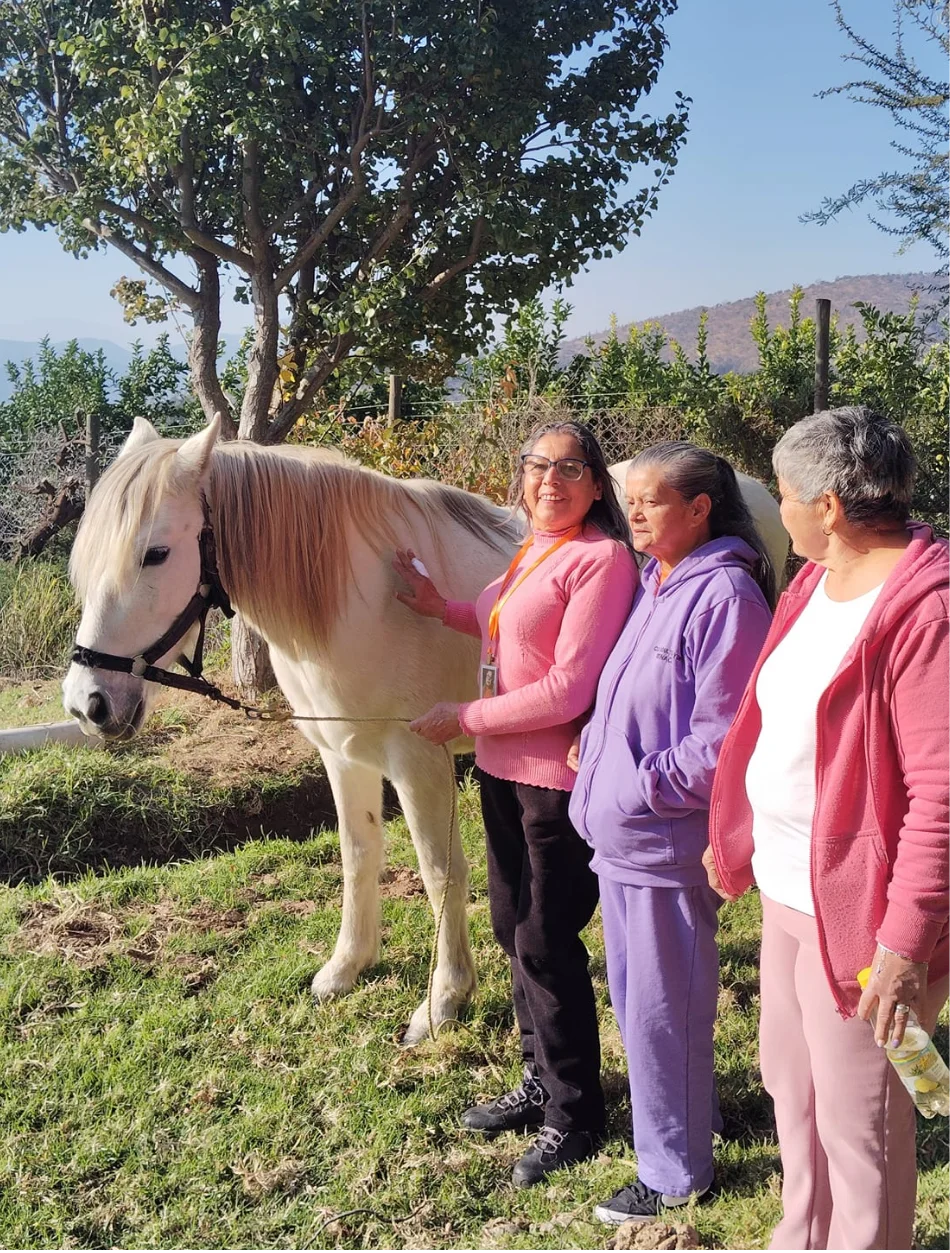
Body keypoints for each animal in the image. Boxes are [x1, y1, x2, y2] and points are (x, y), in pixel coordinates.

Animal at [62, 414, 523, 1044]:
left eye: (155, 553)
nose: (87, 704)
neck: (367, 600)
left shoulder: (420, 762)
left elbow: (440, 873)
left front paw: (444, 1000)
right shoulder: (345, 756)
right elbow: (358, 854)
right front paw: (347, 967)